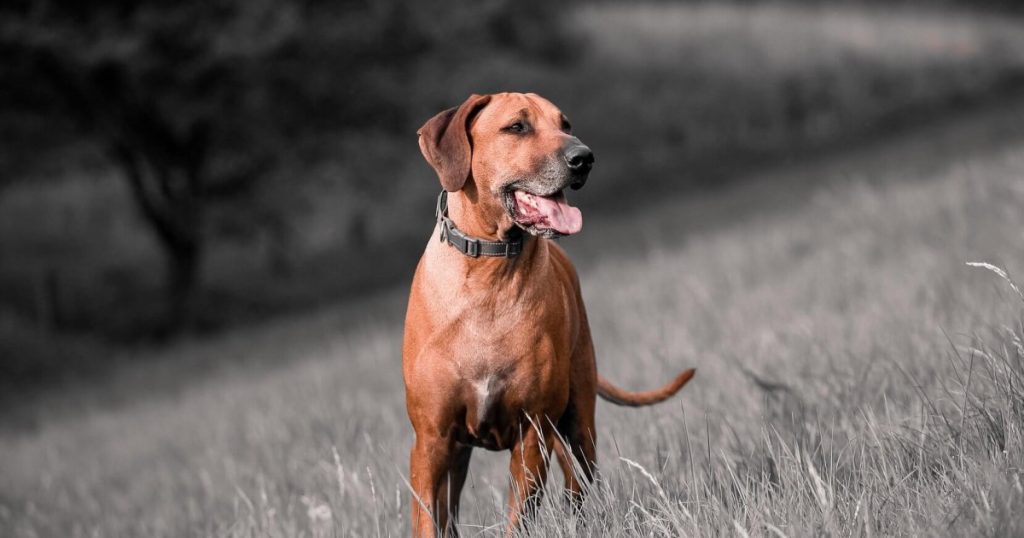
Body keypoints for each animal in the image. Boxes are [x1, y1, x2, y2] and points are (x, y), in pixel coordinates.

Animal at [401, 93, 696, 536]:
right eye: (517, 127)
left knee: (579, 482)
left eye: (565, 124)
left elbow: (520, 518)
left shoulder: (532, 434)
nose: (584, 157)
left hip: (578, 421)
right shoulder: (432, 440)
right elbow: (429, 520)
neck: (489, 273)